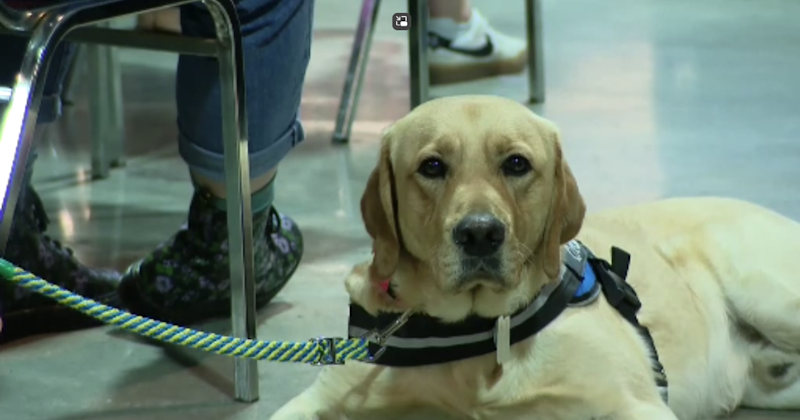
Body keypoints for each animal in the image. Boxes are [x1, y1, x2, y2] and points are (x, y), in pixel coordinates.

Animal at [272, 96, 800, 420]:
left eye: (517, 164)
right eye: (432, 167)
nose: (480, 234)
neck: (479, 335)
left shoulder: (637, 405)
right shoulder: (321, 399)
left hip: (767, 295)